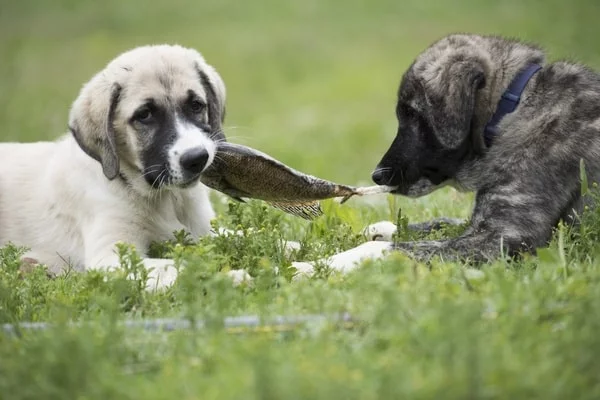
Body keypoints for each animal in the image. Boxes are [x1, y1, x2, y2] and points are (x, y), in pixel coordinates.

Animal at [364, 33, 600, 262]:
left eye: (411, 113)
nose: (377, 176)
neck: (512, 108)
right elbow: (441, 223)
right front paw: (385, 227)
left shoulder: (504, 236)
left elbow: (403, 248)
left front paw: (355, 256)